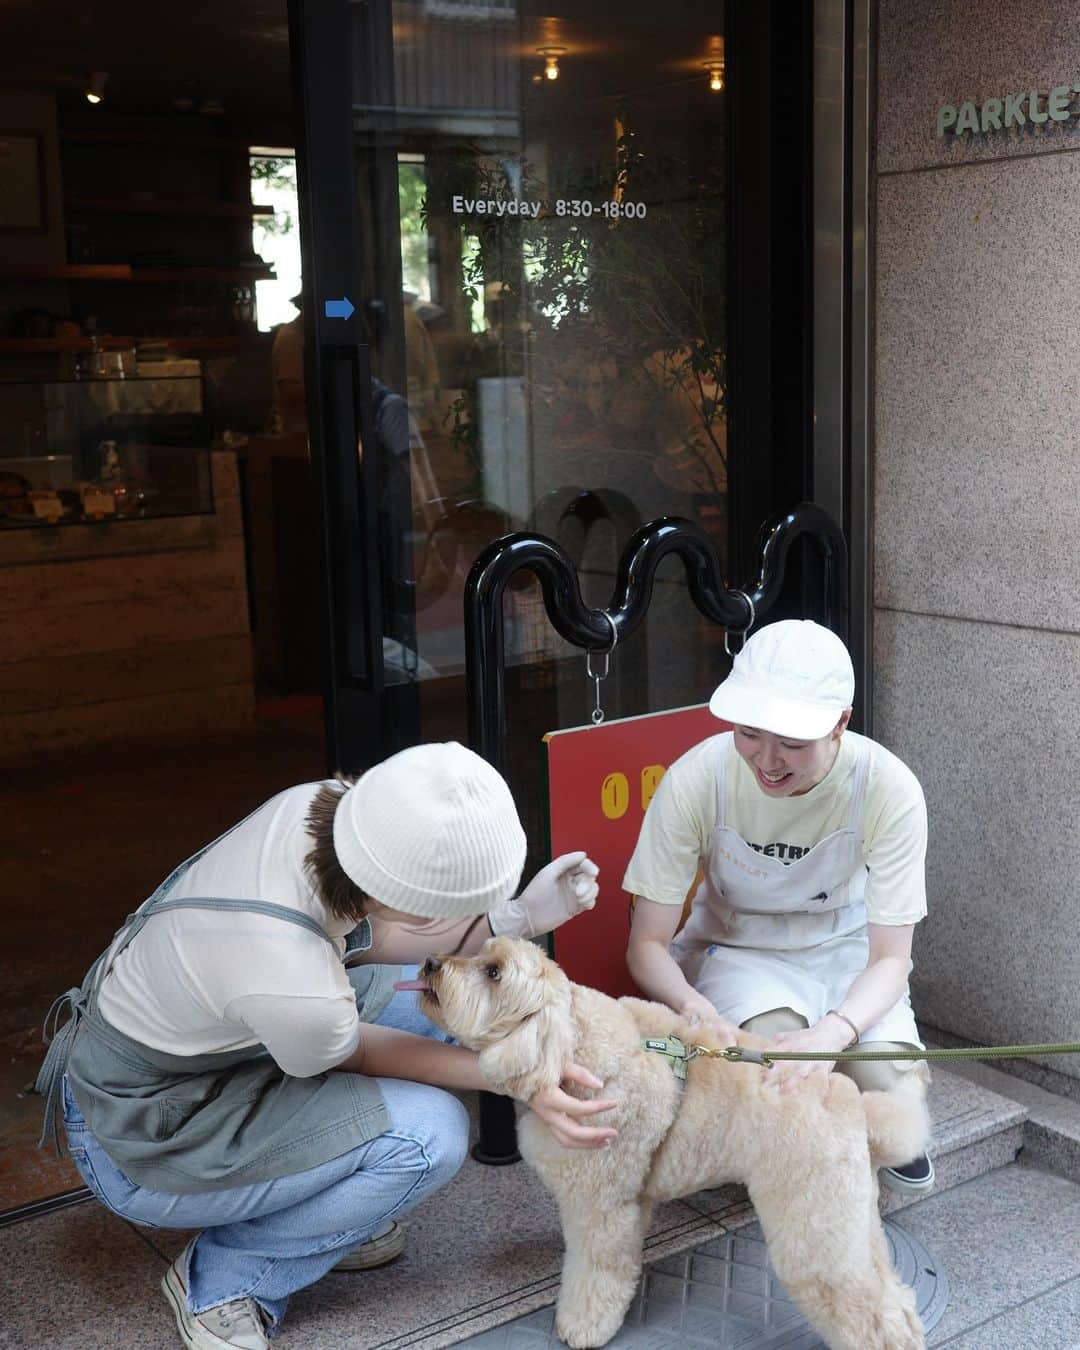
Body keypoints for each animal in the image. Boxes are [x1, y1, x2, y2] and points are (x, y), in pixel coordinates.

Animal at [418, 934, 934, 1350]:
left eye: (494, 972)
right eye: (479, 950)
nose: (428, 962)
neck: (573, 1044)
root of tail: (852, 1102)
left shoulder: (602, 1206)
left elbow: (596, 1272)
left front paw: (582, 1326)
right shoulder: (633, 1197)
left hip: (813, 1227)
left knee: (866, 1314)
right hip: (849, 1221)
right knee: (892, 1301)